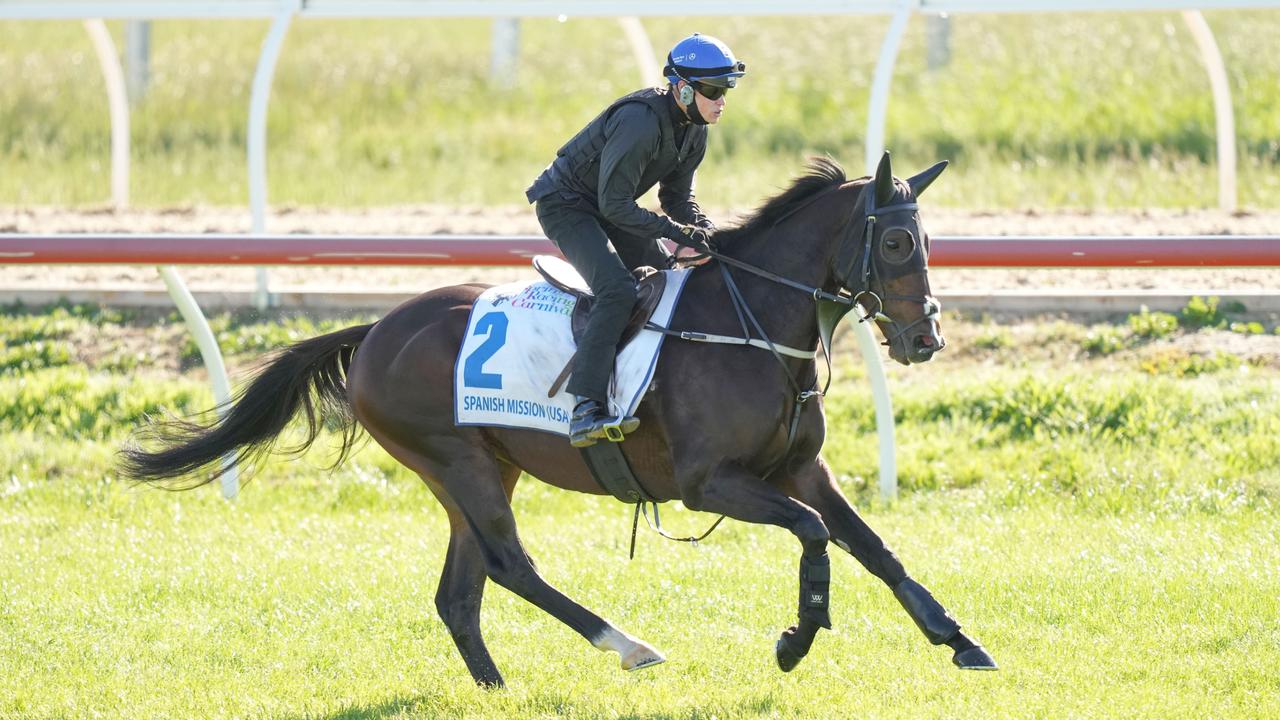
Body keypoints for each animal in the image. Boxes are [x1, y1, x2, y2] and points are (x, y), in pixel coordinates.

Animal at [122, 149, 998, 681]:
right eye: (896, 244)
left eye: (928, 242)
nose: (924, 337)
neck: (748, 322)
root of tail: (373, 330)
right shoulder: (710, 485)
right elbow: (817, 536)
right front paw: (796, 639)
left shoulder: (797, 467)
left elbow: (875, 547)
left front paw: (959, 639)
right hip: (458, 463)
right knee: (511, 567)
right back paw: (628, 644)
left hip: (478, 470)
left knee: (461, 591)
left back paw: (496, 687)